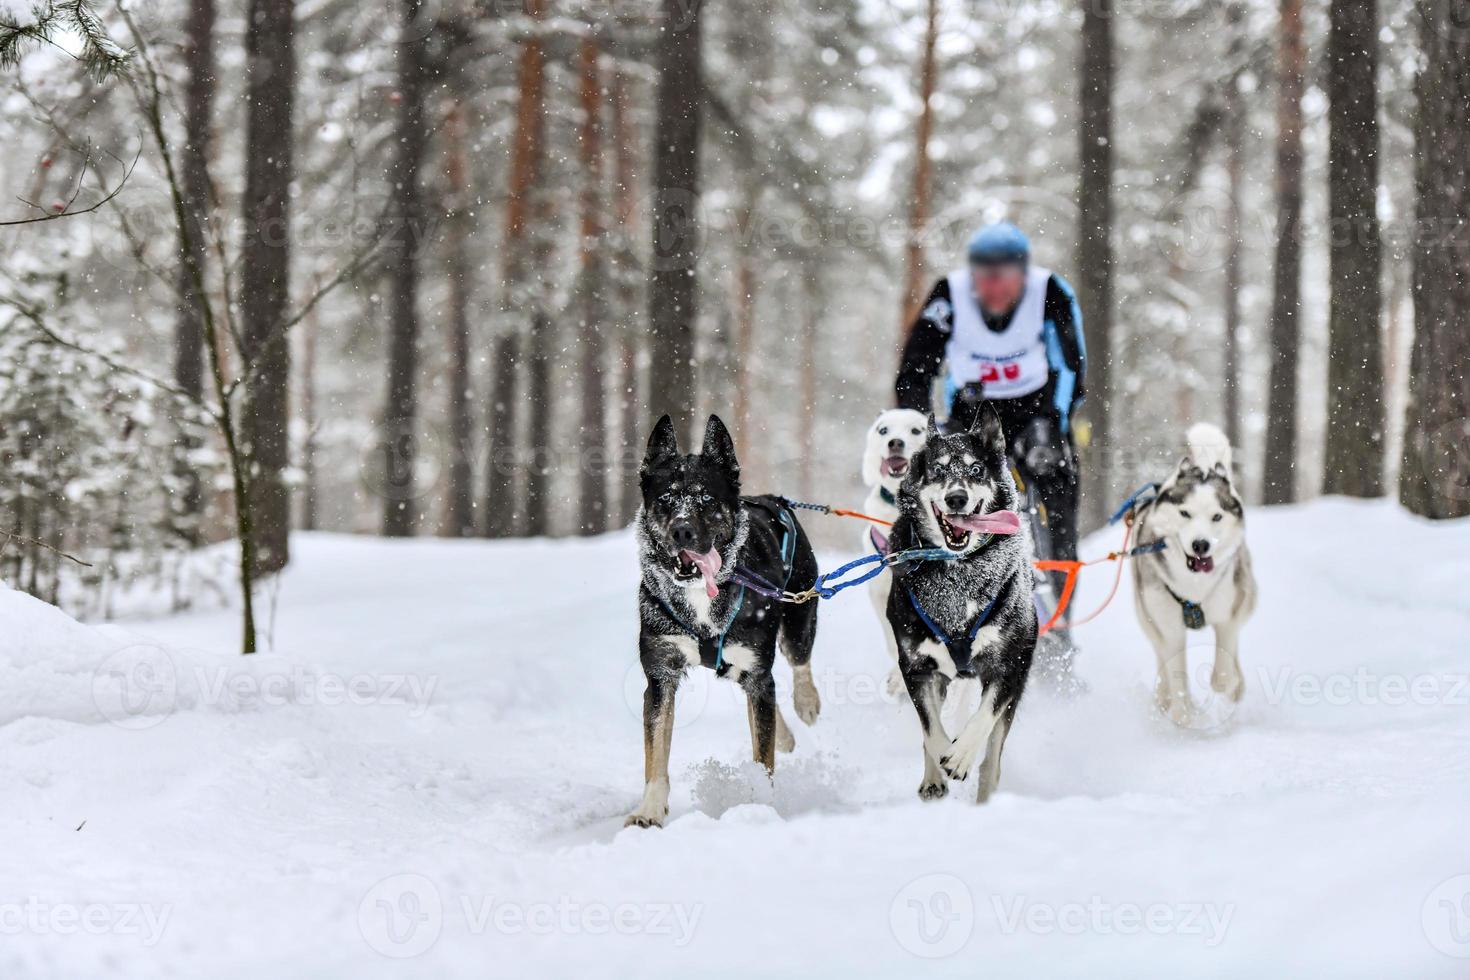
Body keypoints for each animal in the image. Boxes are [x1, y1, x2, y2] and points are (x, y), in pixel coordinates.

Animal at [626, 414, 823, 828]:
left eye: (706, 499)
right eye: (665, 499)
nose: (681, 530)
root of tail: (774, 499)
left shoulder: (757, 667)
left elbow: (762, 757)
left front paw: (760, 804)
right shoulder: (661, 675)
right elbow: (656, 752)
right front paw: (650, 809)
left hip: (798, 617)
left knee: (798, 663)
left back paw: (806, 702)